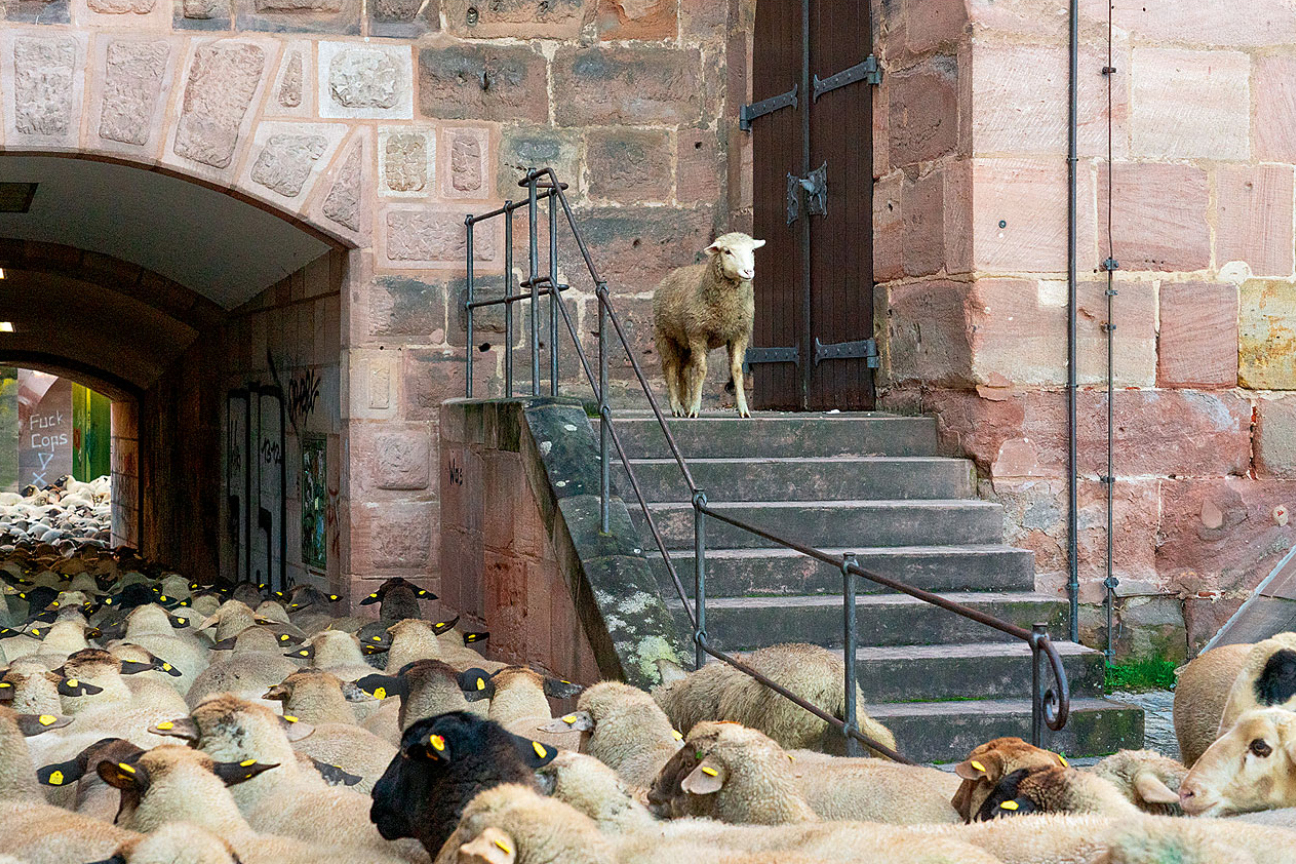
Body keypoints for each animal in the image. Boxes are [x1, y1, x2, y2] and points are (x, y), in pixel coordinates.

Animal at [652, 232, 765, 418]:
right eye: (727, 251)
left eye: (752, 251)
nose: (748, 272)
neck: (727, 311)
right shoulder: (698, 333)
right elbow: (702, 369)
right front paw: (696, 409)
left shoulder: (740, 333)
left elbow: (736, 369)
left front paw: (743, 409)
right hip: (665, 334)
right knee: (670, 367)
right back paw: (676, 407)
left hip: (686, 341)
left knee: (684, 370)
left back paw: (686, 403)